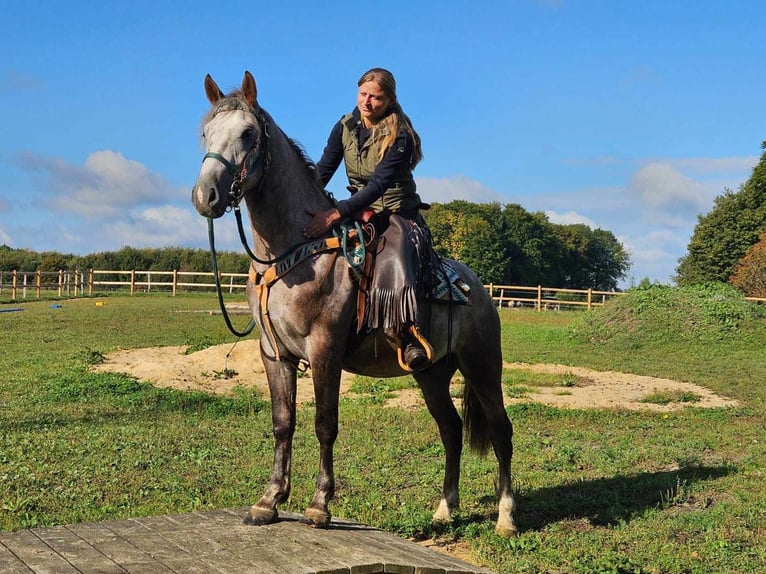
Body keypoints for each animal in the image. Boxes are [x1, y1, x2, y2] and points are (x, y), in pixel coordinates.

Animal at [192, 73, 520, 540]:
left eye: (248, 133)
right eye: (206, 133)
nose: (206, 196)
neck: (295, 253)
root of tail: (477, 288)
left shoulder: (324, 349)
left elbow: (324, 424)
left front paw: (318, 506)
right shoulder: (275, 353)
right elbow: (282, 422)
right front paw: (269, 501)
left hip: (482, 365)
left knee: (499, 430)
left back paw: (506, 517)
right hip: (431, 373)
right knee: (451, 430)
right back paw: (445, 509)